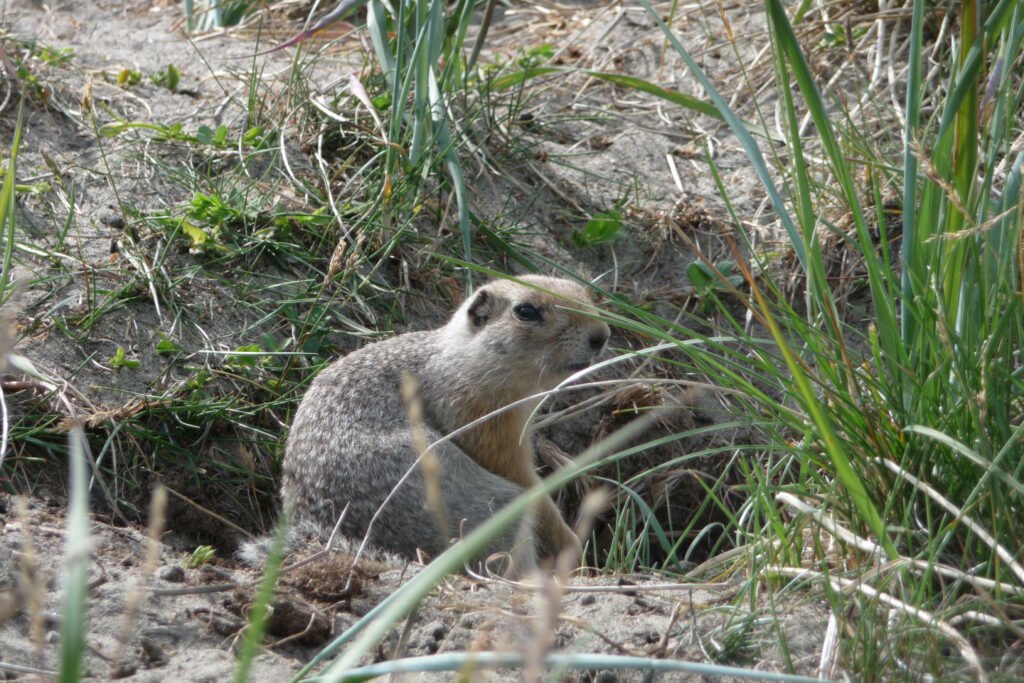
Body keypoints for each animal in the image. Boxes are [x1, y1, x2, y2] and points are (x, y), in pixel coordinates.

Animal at [272, 275, 610, 571]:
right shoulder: (485, 418)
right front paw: (572, 544)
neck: (462, 361)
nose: (602, 334)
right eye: (525, 310)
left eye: (584, 292)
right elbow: (524, 479)